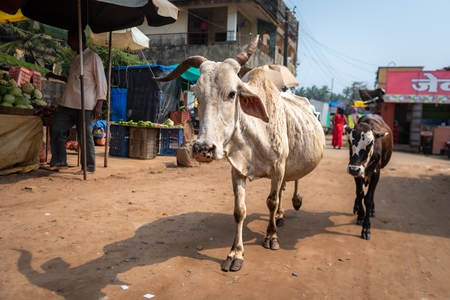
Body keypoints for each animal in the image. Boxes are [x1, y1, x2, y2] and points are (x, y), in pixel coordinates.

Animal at [153, 35, 326, 272]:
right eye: (197, 95)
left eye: (232, 93)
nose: (203, 149)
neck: (252, 138)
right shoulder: (237, 170)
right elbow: (239, 211)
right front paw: (236, 253)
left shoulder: (279, 166)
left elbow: (271, 201)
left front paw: (271, 236)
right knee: (282, 189)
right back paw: (281, 216)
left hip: (291, 162)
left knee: (291, 183)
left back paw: (294, 202)